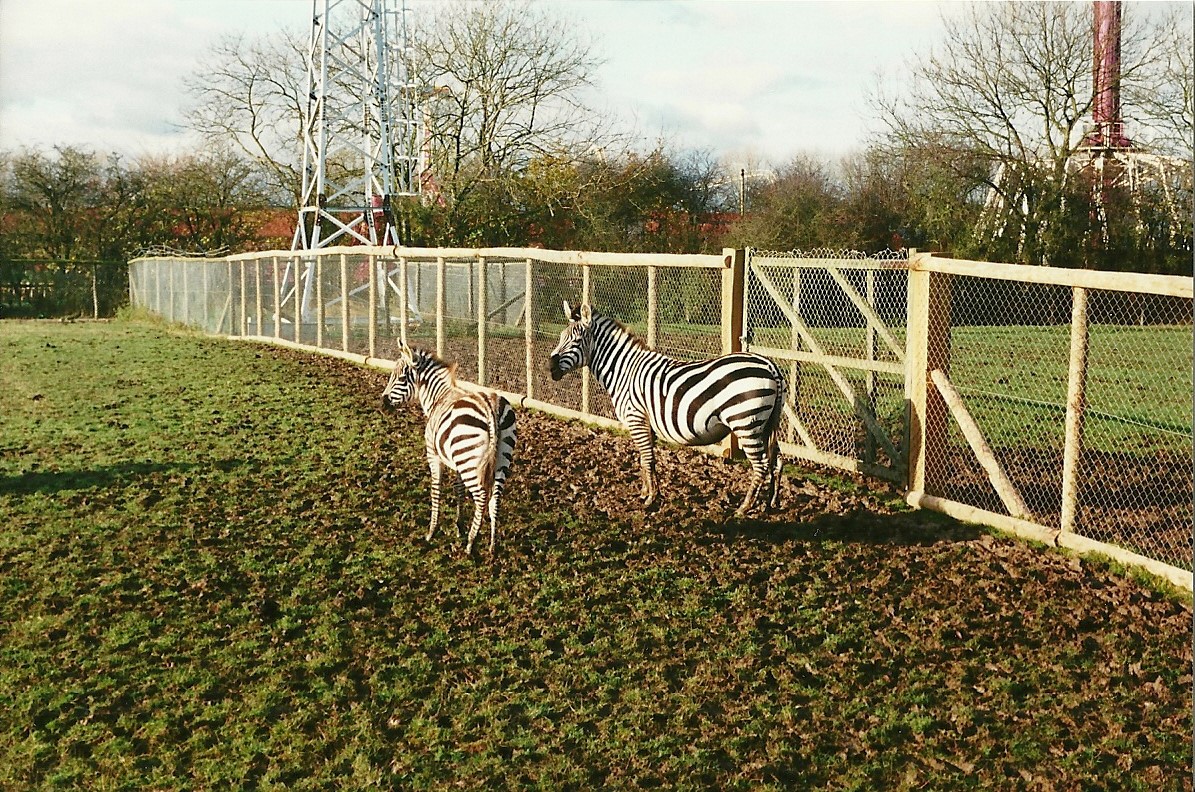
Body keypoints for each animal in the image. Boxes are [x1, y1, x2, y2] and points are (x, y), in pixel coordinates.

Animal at [381, 342, 517, 555]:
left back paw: (471, 543)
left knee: (481, 498)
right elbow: (458, 489)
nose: (383, 404)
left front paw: (432, 531)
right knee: (495, 499)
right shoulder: (457, 461)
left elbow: (436, 489)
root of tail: (490, 406)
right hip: (496, 460)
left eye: (401, 378)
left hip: (471, 462)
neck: (439, 398)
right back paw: (492, 545)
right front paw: (459, 526)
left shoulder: (433, 454)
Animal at [548, 301, 786, 515]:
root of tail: (769, 365)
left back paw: (744, 507)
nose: (550, 367)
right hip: (766, 424)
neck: (625, 371)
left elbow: (648, 459)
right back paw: (770, 503)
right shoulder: (646, 424)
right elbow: (644, 460)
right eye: (560, 338)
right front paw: (645, 492)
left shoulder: (636, 419)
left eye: (576, 340)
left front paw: (651, 499)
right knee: (777, 462)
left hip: (746, 423)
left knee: (761, 465)